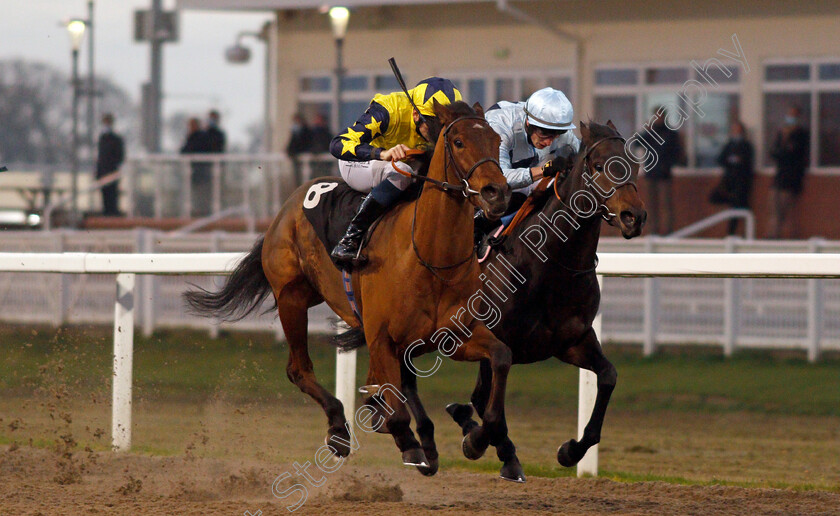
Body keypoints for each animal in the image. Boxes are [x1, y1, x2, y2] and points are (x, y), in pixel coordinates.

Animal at [185, 101, 512, 476]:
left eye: (496, 140)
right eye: (458, 142)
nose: (497, 193)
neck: (429, 256)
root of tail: (288, 205)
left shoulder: (452, 334)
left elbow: (501, 356)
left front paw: (478, 438)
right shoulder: (382, 337)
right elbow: (394, 405)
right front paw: (407, 442)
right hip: (291, 298)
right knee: (299, 370)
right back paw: (341, 430)